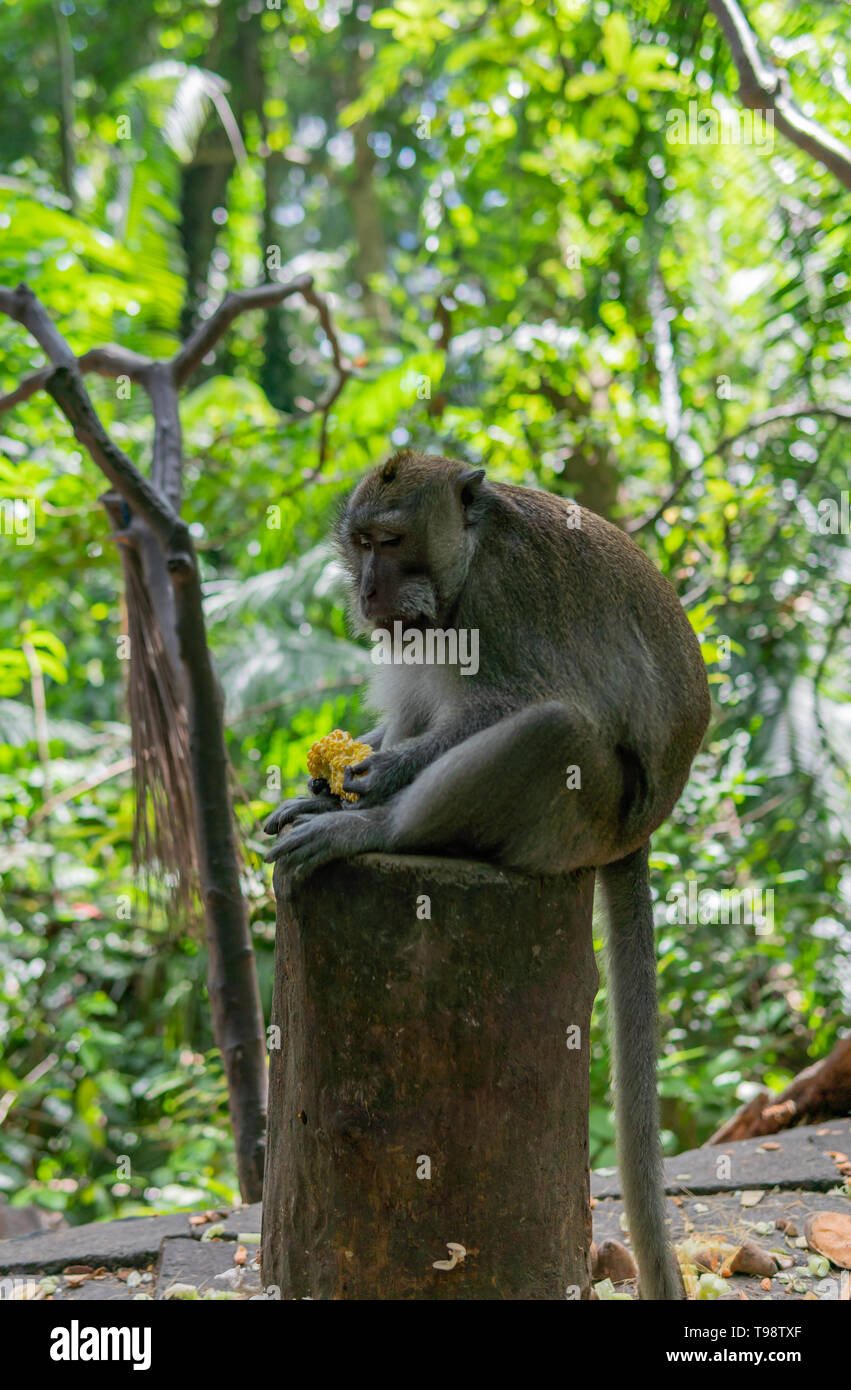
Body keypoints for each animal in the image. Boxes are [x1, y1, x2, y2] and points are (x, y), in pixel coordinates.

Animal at [264, 447, 711, 1301]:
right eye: (360, 544)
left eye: (392, 541)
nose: (368, 593)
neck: (467, 557)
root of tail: (643, 826)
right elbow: (413, 695)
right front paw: (326, 778)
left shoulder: (498, 602)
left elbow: (515, 698)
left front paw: (377, 777)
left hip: (581, 818)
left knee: (553, 729)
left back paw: (374, 827)